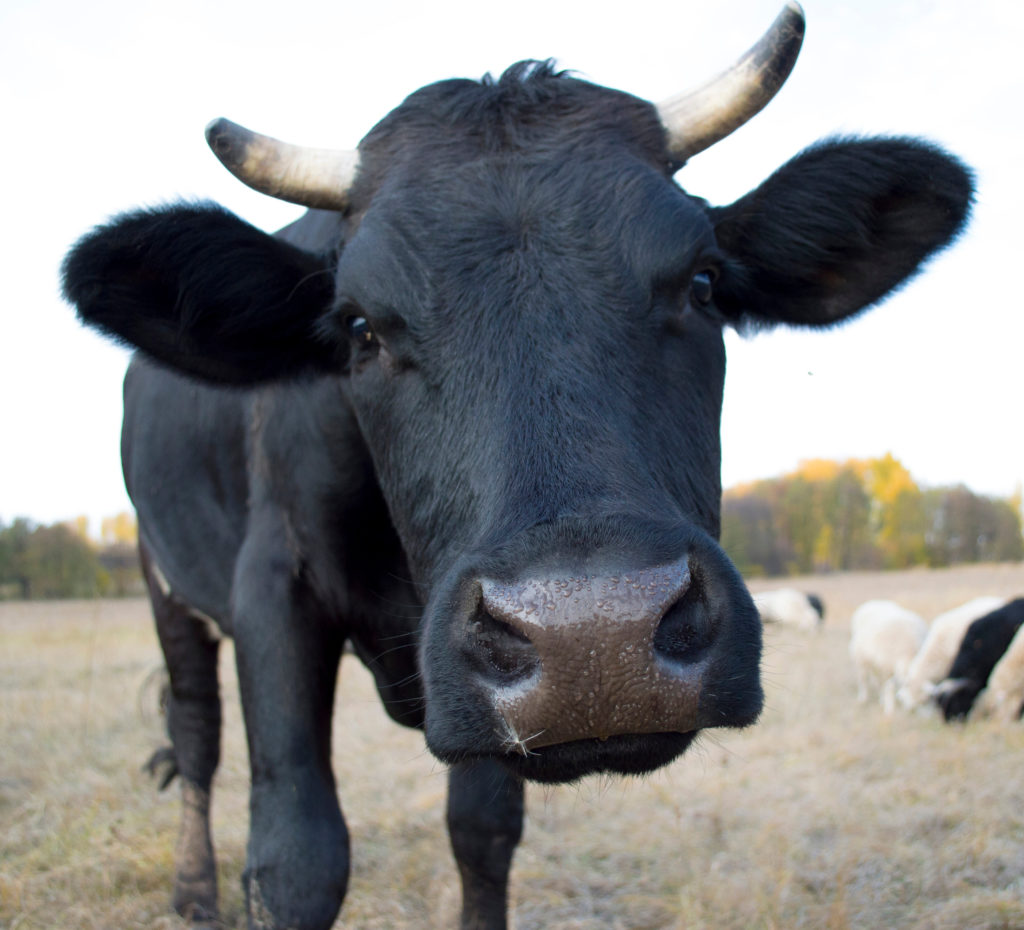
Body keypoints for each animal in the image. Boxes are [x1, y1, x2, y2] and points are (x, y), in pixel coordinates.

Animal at [59, 7, 970, 930]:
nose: (594, 641)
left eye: (705, 283)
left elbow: (483, 828)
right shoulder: (273, 586)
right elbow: (296, 859)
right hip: (163, 582)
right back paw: (191, 889)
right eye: (358, 328)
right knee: (196, 735)